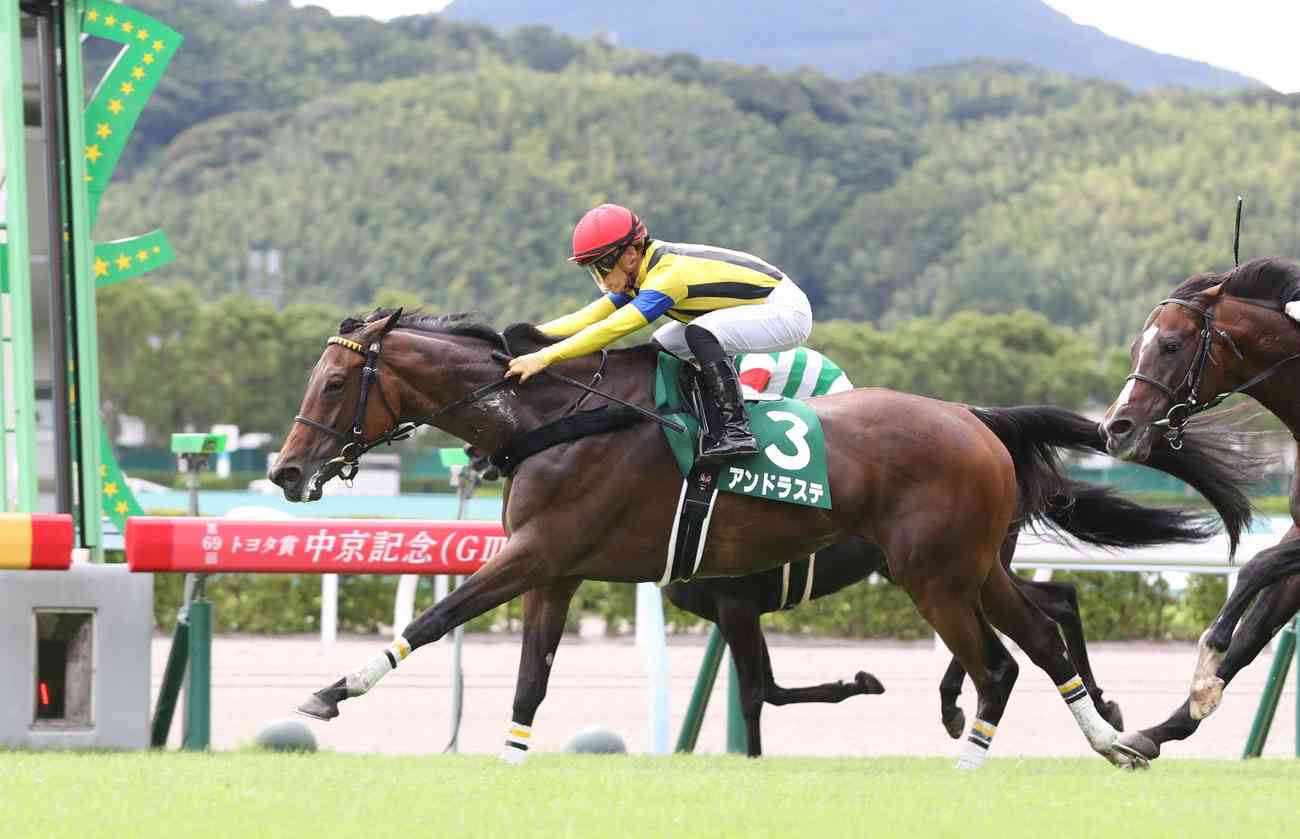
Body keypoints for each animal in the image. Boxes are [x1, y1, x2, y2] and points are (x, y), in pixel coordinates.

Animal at [268, 309, 1249, 768]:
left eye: (332, 386)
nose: (283, 472)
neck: (553, 419)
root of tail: (976, 418)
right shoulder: (557, 571)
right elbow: (534, 676)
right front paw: (510, 759)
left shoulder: (541, 554)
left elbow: (438, 619)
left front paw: (330, 691)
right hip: (968, 566)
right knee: (1043, 628)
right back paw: (1110, 734)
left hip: (934, 572)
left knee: (1005, 657)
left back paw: (987, 745)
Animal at [1102, 256, 1299, 763]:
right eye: (1136, 346)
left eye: (1171, 345)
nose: (1115, 427)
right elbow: (1255, 631)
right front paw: (1161, 729)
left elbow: (1254, 567)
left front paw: (1204, 670)